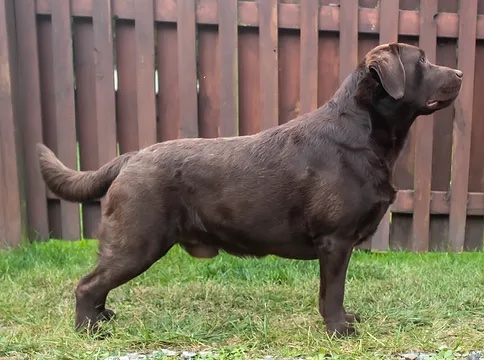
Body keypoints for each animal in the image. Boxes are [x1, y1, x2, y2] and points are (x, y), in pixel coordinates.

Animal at [36, 43, 462, 338]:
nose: (459, 71)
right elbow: (334, 291)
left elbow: (328, 292)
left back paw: (102, 317)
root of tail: (129, 157)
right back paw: (89, 329)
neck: (364, 131)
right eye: (422, 61)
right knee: (87, 284)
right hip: (137, 243)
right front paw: (339, 330)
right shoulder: (335, 241)